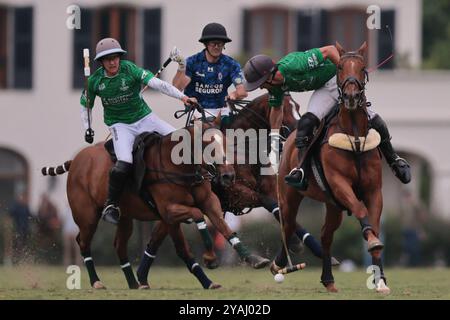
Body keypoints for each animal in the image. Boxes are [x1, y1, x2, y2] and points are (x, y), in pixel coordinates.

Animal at [42, 115, 268, 290]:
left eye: (225, 141)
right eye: (207, 144)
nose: (229, 175)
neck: (182, 168)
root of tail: (75, 160)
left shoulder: (205, 203)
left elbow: (223, 229)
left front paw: (253, 260)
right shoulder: (169, 211)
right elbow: (194, 223)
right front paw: (210, 260)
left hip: (125, 217)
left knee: (119, 245)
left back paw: (134, 283)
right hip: (87, 215)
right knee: (83, 242)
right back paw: (97, 282)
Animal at [274, 41, 390, 294]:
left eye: (363, 67)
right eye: (339, 68)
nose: (351, 96)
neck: (354, 136)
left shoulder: (374, 190)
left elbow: (374, 226)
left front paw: (381, 281)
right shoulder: (340, 184)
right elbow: (361, 211)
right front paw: (372, 242)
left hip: (333, 205)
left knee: (326, 235)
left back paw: (328, 280)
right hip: (290, 196)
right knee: (288, 225)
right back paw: (279, 264)